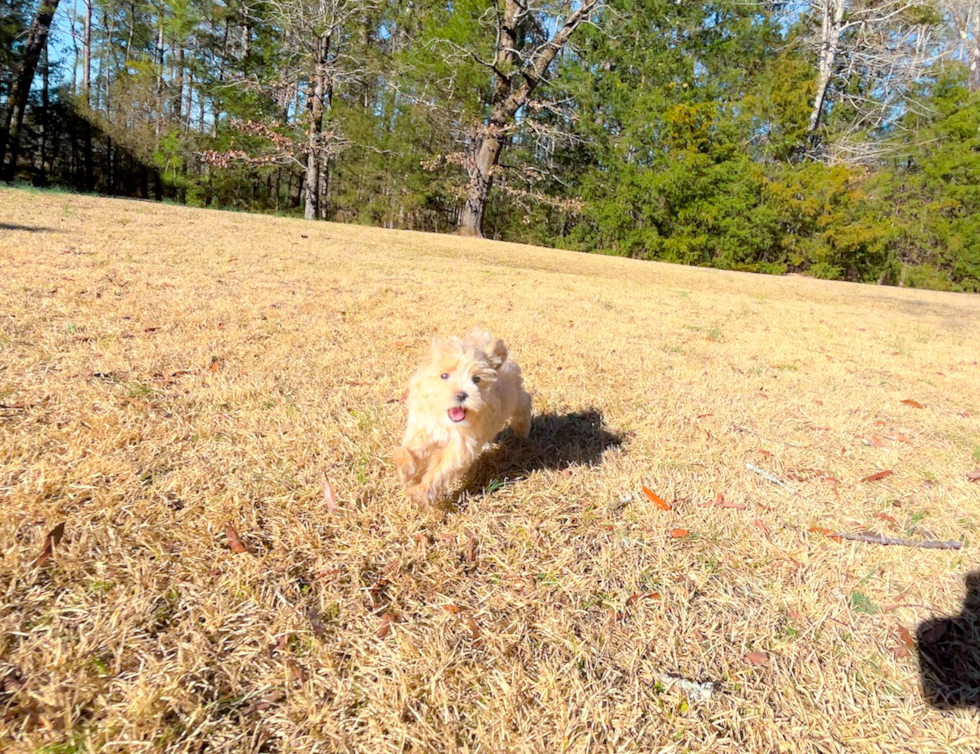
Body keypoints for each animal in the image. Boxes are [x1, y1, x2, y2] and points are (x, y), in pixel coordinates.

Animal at [394, 330, 532, 502]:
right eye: (444, 376)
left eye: (476, 379)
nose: (461, 395)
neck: (446, 423)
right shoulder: (424, 427)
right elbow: (411, 447)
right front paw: (405, 469)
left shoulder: (461, 446)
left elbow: (441, 469)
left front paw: (420, 492)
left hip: (513, 397)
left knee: (524, 402)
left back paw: (522, 430)